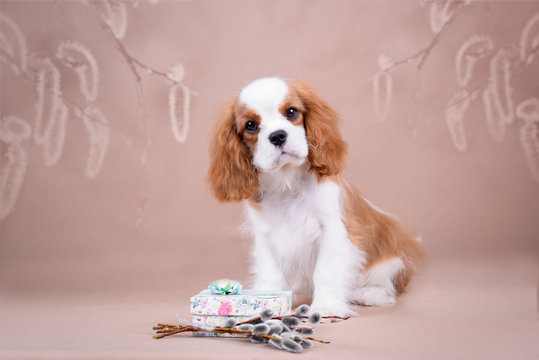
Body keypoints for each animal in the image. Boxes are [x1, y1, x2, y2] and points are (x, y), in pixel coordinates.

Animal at [209, 78, 424, 316]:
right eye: (250, 125)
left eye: (291, 112)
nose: (278, 136)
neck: (287, 183)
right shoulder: (265, 236)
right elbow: (270, 271)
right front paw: (265, 302)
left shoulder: (332, 230)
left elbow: (325, 271)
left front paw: (326, 307)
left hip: (391, 256)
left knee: (388, 284)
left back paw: (368, 293)